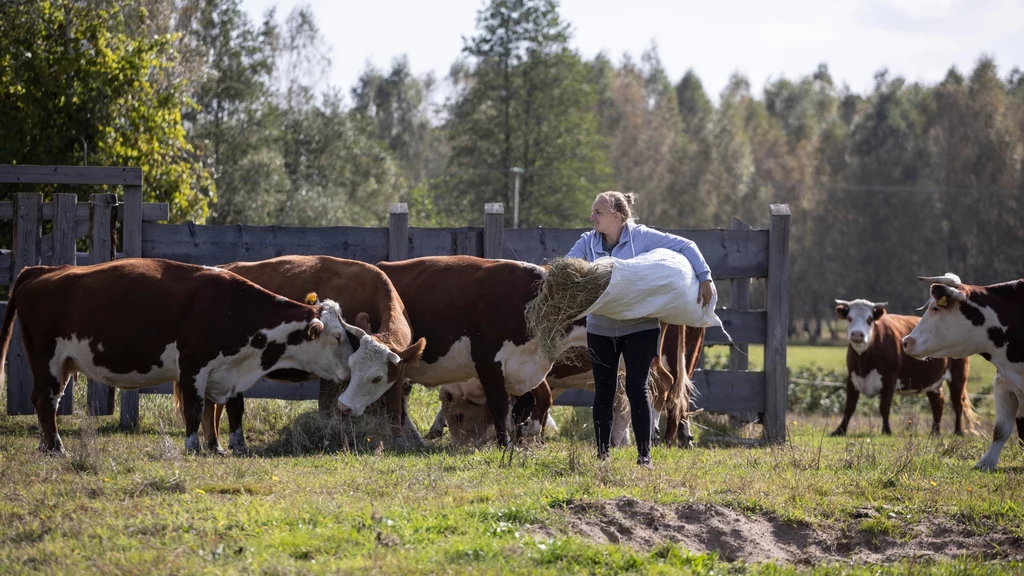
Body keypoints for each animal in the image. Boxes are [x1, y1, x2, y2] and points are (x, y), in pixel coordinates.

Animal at [0, 258, 393, 450]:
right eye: (338, 337)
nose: (349, 375)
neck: (232, 309)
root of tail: (44, 270)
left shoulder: (229, 373)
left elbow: (226, 410)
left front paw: (223, 446)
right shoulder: (192, 367)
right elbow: (195, 408)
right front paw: (192, 446)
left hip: (65, 364)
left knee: (49, 402)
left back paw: (48, 445)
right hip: (47, 360)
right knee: (44, 400)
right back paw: (55, 447)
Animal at [186, 255, 425, 453]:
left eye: (377, 378)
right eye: (353, 366)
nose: (345, 407)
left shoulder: (399, 368)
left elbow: (395, 404)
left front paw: (399, 440)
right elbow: (325, 406)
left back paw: (215, 443)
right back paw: (224, 444)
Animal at [831, 295, 974, 434]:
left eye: (869, 319)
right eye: (849, 318)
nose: (857, 334)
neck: (864, 362)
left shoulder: (889, 379)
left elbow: (884, 407)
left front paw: (887, 430)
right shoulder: (852, 377)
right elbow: (849, 407)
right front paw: (839, 430)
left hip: (958, 375)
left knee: (958, 403)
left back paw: (959, 431)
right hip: (933, 381)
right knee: (938, 403)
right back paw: (935, 432)